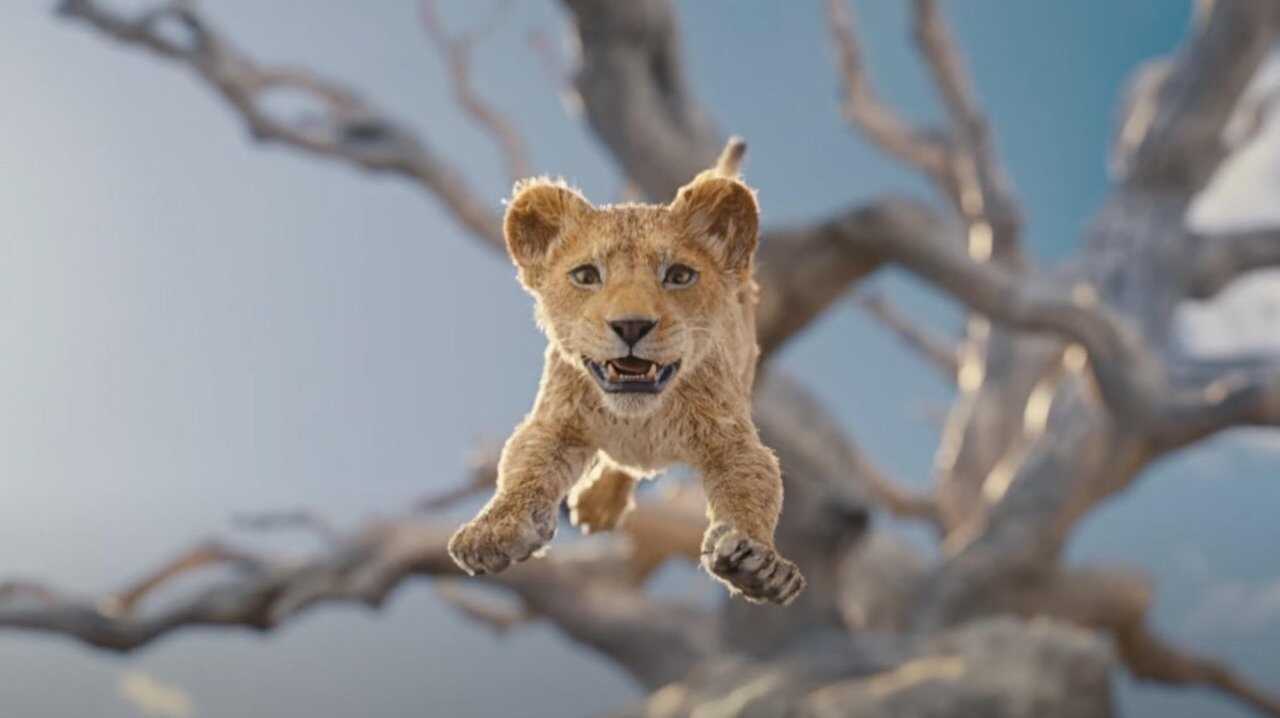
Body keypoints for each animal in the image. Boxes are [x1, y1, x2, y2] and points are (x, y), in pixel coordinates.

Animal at [447, 141, 804, 605]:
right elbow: (523, 468)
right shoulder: (554, 422)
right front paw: (493, 532)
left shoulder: (733, 439)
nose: (631, 326)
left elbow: (753, 489)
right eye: (586, 275)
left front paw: (758, 564)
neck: (641, 418)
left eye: (679, 275)